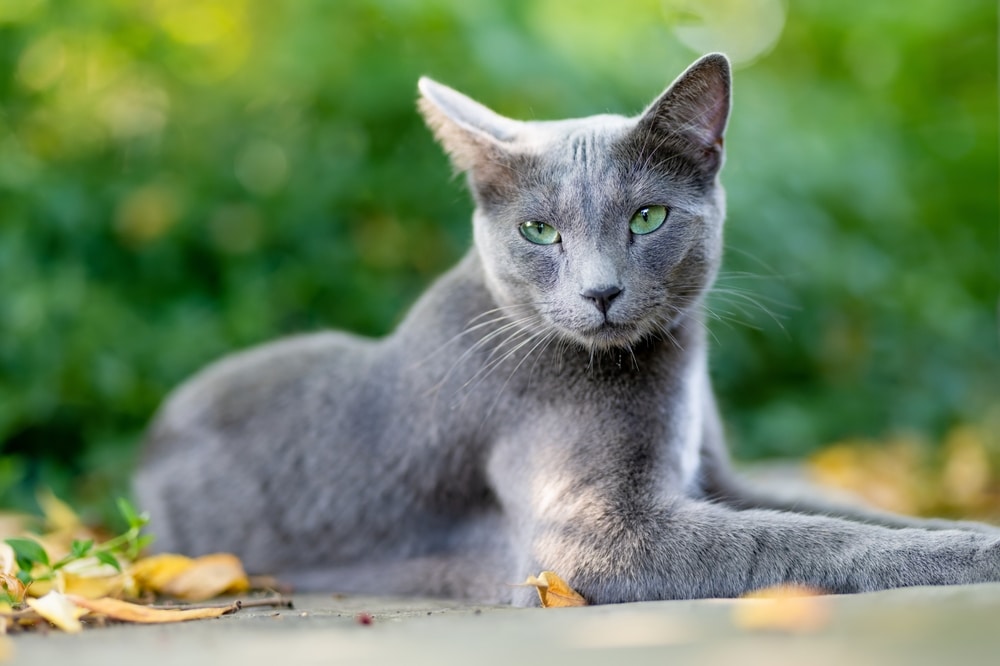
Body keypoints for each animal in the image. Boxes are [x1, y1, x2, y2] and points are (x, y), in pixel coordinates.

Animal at [135, 54, 1000, 604]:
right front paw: (979, 552)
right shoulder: (589, 538)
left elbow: (850, 516)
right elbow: (797, 540)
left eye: (648, 217)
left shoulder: (720, 477)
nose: (601, 290)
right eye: (539, 231)